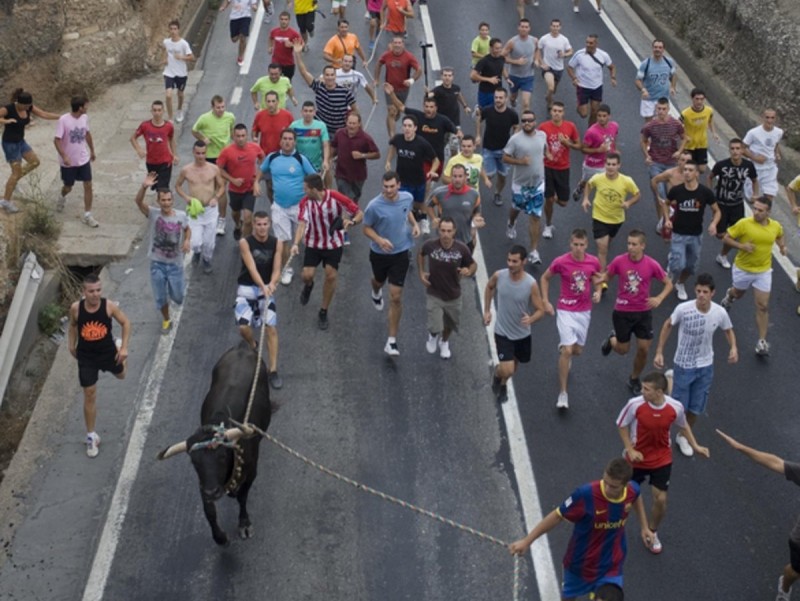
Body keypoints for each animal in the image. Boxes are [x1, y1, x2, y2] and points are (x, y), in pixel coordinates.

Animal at [158, 342, 274, 544]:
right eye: (194, 461)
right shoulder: (204, 482)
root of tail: (243, 347)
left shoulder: (252, 472)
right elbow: (208, 511)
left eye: (222, 457)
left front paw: (244, 524)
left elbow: (242, 497)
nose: (213, 492)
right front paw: (219, 537)